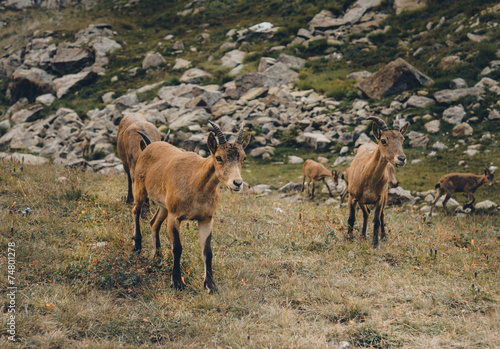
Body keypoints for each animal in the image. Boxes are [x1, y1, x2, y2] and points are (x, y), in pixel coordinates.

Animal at [133, 119, 252, 290]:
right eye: (219, 157)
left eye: (243, 157)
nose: (237, 183)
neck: (195, 183)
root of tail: (149, 146)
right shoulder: (174, 216)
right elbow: (177, 248)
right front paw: (177, 282)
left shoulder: (206, 219)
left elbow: (207, 251)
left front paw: (210, 285)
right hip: (140, 188)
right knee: (135, 210)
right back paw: (137, 246)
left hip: (163, 206)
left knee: (154, 222)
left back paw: (157, 257)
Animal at [346, 117, 408, 247]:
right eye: (383, 140)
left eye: (403, 139)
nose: (401, 159)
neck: (367, 177)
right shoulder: (352, 197)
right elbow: (351, 218)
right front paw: (349, 239)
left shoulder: (380, 198)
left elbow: (377, 220)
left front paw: (375, 244)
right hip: (361, 201)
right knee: (366, 213)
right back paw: (363, 236)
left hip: (384, 196)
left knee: (381, 215)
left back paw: (383, 237)